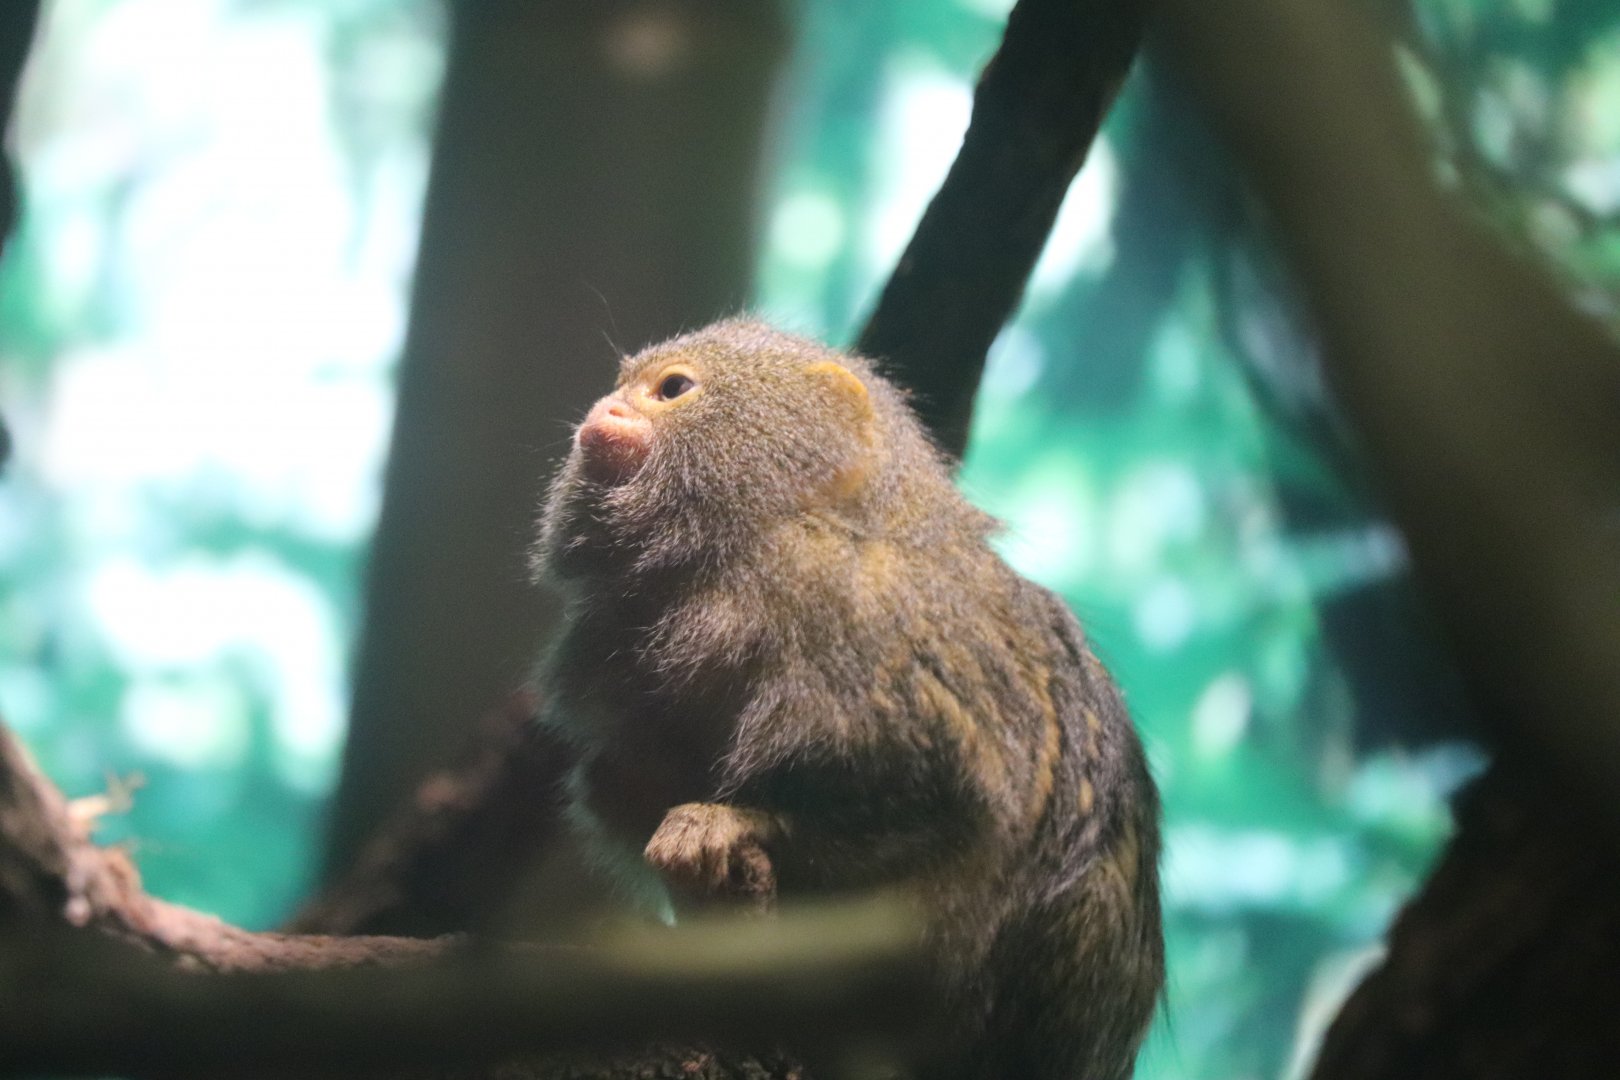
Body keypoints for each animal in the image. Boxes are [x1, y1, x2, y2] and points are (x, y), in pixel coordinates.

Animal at [531, 320, 1163, 1080]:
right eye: (622, 382)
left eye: (673, 388)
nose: (605, 408)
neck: (741, 559)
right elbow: (614, 779)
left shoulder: (887, 653)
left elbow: (941, 810)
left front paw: (736, 825)